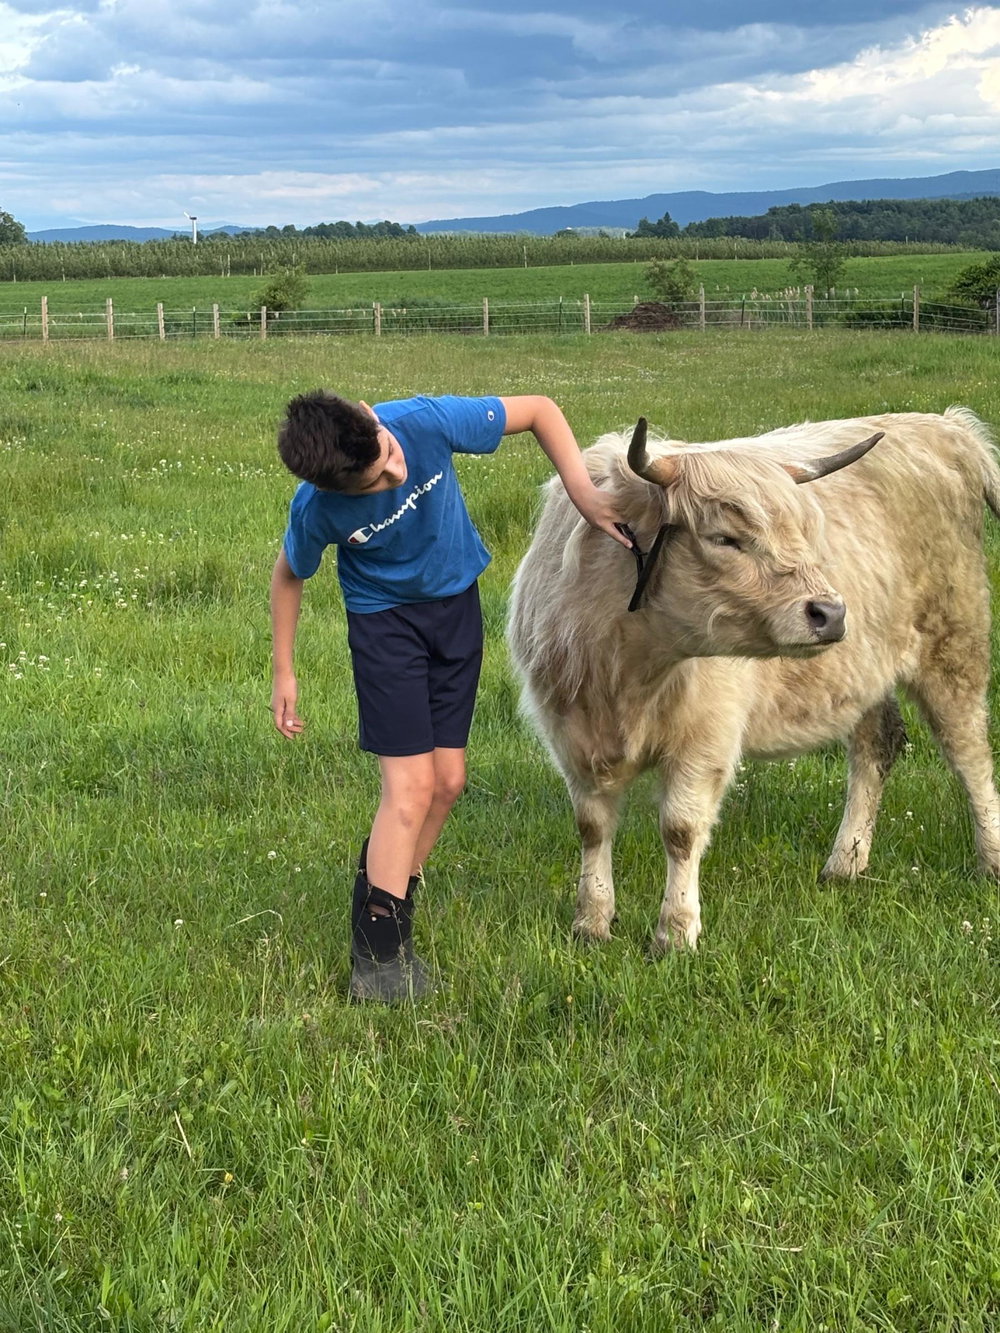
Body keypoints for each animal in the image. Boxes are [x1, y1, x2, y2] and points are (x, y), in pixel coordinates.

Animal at [507, 408, 1000, 953]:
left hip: (954, 645)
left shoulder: (706, 736)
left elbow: (680, 829)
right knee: (877, 745)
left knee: (969, 754)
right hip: (867, 672)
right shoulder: (571, 734)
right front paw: (591, 921)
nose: (831, 613)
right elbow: (592, 826)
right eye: (725, 538)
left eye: (802, 531)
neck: (628, 669)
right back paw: (845, 863)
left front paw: (675, 932)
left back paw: (991, 859)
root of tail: (944, 424)